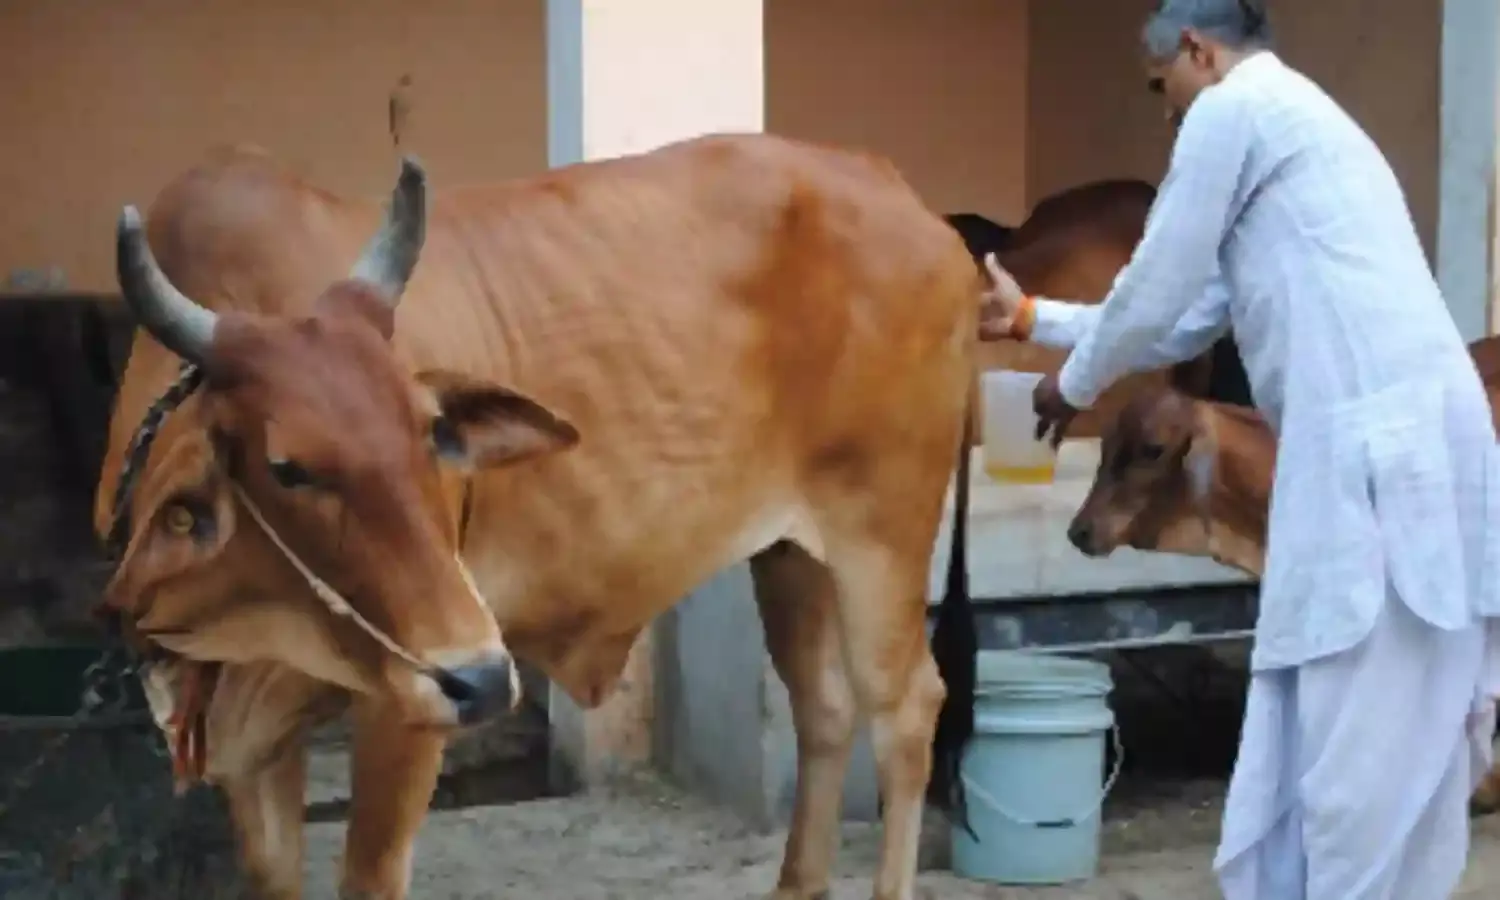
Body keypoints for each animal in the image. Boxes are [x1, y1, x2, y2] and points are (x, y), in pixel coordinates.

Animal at [93, 134, 984, 900]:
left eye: (432, 433)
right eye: (287, 465)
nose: (483, 677)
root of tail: (902, 196)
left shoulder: (402, 710)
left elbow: (369, 875)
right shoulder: (250, 742)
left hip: (884, 531)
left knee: (906, 710)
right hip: (792, 552)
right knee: (823, 707)